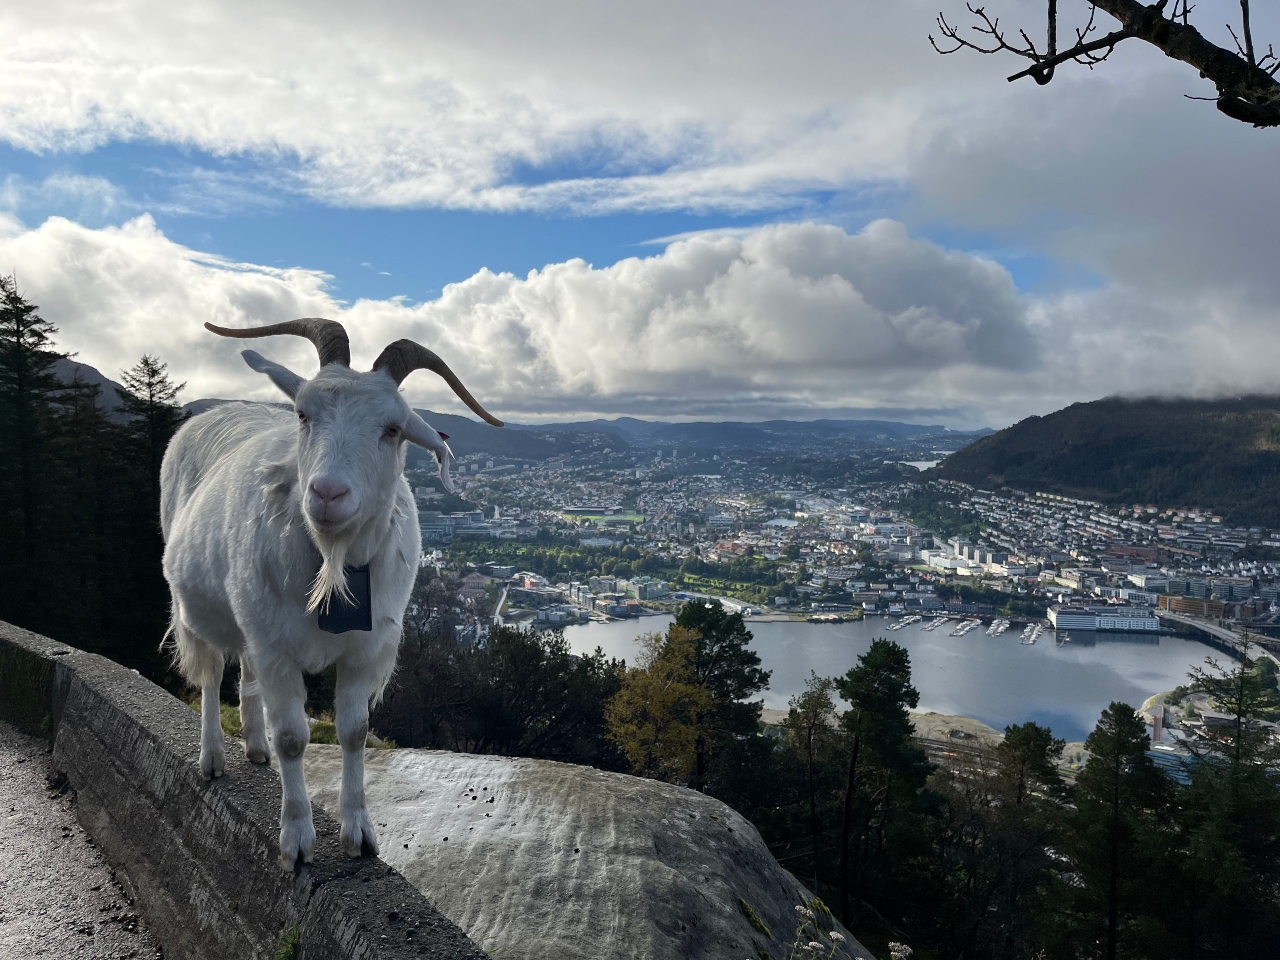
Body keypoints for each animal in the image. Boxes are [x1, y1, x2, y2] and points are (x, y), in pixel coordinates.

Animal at [160, 318, 502, 869]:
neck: (334, 565)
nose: (326, 494)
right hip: (196, 609)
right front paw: (297, 838)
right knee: (210, 675)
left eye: (392, 429)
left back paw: (253, 744)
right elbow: (293, 738)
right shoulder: (277, 648)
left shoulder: (365, 650)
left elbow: (354, 731)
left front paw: (359, 833)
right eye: (303, 413)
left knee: (245, 672)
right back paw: (212, 756)